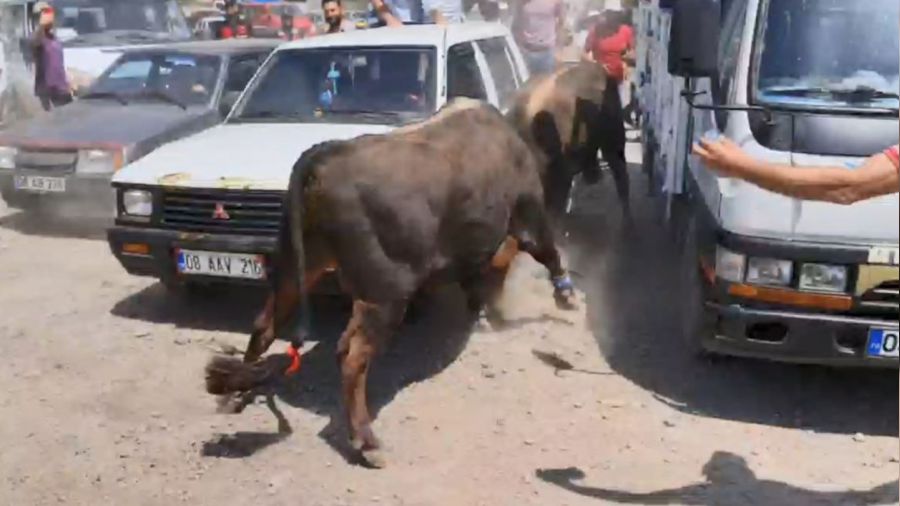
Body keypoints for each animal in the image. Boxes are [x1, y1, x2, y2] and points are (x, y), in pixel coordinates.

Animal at [202, 99, 576, 466]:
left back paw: (234, 393)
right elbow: (547, 252)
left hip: (298, 266)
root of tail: (325, 155)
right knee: (352, 356)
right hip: (384, 295)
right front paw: (565, 296)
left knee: (265, 325)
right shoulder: (529, 215)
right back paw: (367, 442)